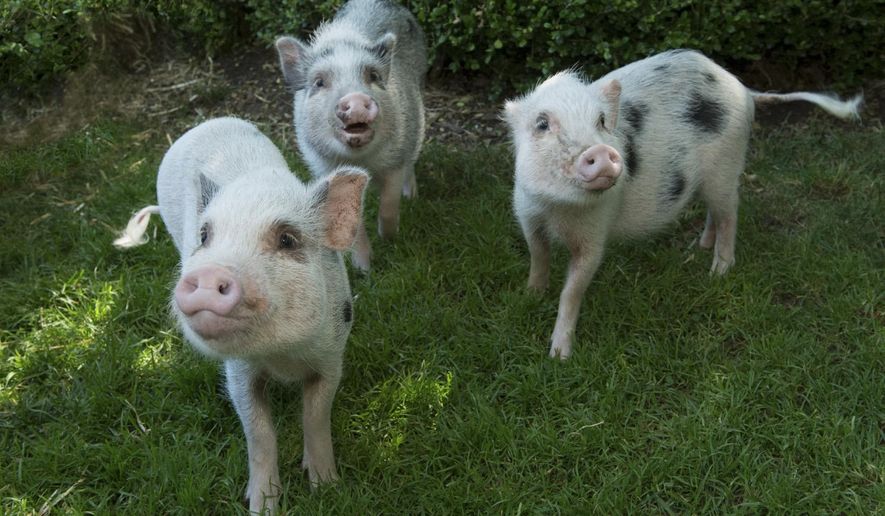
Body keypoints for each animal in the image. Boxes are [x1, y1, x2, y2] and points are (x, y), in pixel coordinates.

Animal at [114, 117, 369, 513]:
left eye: (287, 239)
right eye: (205, 236)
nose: (208, 274)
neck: (282, 357)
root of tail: (207, 123)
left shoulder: (332, 358)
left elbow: (315, 417)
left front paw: (327, 488)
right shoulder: (238, 371)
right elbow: (259, 434)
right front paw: (261, 506)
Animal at [275, 0, 428, 272]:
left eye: (373, 76)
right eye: (319, 82)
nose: (356, 98)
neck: (363, 162)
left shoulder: (395, 159)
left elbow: (389, 203)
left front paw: (389, 238)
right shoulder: (324, 166)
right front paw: (364, 270)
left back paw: (411, 197)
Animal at [503, 49, 862, 360]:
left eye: (601, 121)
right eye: (542, 124)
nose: (602, 152)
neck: (558, 209)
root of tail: (742, 87)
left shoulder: (595, 234)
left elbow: (572, 290)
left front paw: (559, 357)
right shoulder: (527, 214)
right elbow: (538, 256)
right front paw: (529, 295)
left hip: (726, 168)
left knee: (730, 214)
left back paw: (717, 272)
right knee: (714, 213)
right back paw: (698, 247)